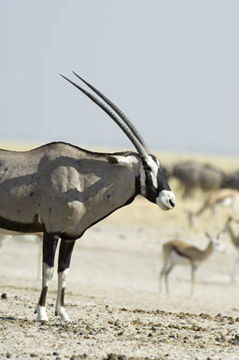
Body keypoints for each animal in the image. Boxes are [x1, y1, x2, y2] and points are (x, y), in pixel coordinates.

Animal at [0, 71, 176, 322]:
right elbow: (48, 270)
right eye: (147, 167)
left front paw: (63, 314)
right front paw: (42, 312)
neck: (81, 179)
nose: (170, 200)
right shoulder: (51, 231)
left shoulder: (71, 236)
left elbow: (64, 271)